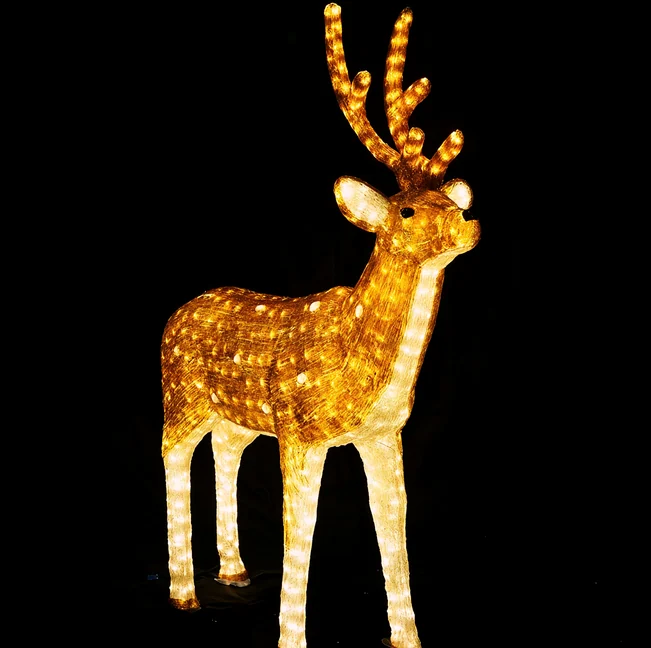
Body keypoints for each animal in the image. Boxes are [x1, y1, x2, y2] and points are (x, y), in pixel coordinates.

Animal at [160, 4, 480, 647]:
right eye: (409, 209)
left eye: (454, 203)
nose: (469, 225)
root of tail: (175, 314)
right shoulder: (300, 429)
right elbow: (299, 535)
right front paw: (290, 636)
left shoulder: (384, 433)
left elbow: (394, 529)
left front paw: (407, 637)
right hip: (181, 397)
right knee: (172, 455)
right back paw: (185, 592)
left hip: (234, 413)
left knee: (226, 450)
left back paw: (234, 570)